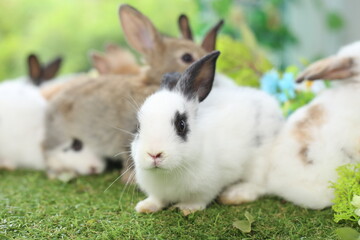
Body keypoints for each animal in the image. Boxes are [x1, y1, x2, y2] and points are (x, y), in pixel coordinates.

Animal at [130, 51, 284, 216]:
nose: (154, 154)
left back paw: (234, 195)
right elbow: (158, 199)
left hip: (259, 163)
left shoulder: (208, 187)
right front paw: (145, 207)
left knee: (259, 185)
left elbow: (199, 199)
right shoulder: (158, 192)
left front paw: (186, 208)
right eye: (138, 126)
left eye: (181, 125)